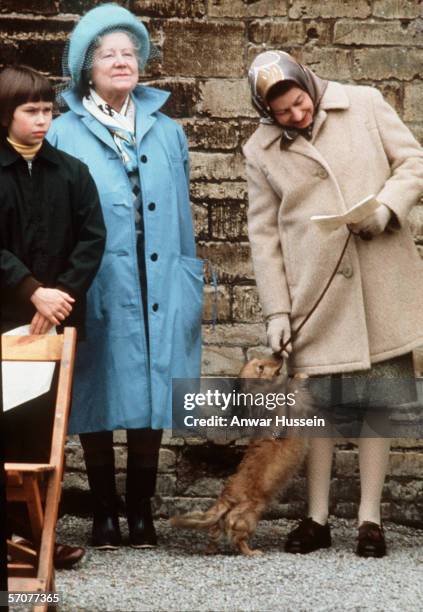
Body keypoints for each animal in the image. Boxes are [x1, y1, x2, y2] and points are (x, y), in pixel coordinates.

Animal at [170, 356, 312, 556]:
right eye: (261, 367)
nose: (279, 355)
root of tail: (226, 496)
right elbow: (293, 389)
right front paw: (299, 376)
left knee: (214, 531)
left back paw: (211, 549)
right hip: (250, 516)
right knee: (237, 536)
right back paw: (251, 552)